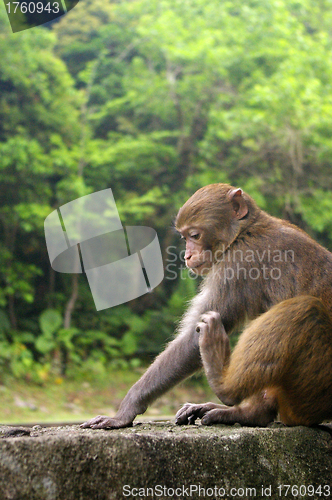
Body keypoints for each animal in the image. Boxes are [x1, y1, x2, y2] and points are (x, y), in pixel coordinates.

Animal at [81, 185, 332, 430]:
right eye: (184, 237)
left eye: (195, 235)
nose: (187, 255)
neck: (245, 231)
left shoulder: (238, 263)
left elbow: (193, 339)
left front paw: (125, 411)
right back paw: (250, 412)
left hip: (310, 388)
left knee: (305, 309)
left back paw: (224, 383)